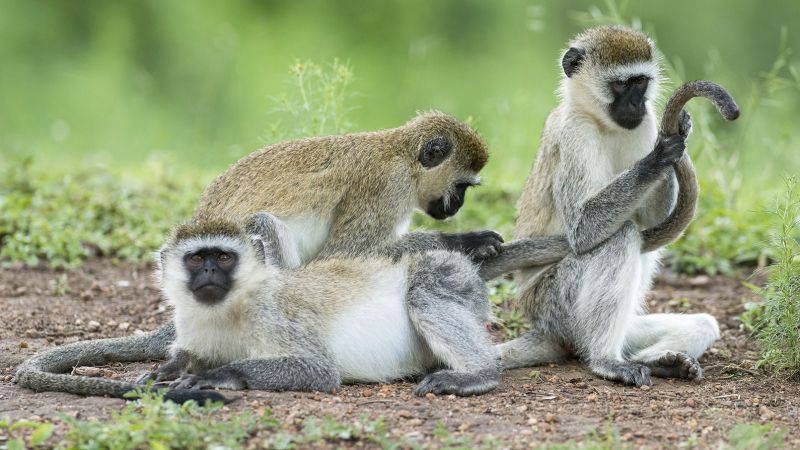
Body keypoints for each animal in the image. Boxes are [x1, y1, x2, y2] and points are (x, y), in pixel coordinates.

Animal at [17, 213, 576, 400]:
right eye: (197, 260)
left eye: (223, 257)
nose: (210, 276)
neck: (227, 311)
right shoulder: (190, 326)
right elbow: (183, 356)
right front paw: (165, 372)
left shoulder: (274, 316)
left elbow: (317, 369)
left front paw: (218, 376)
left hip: (448, 276)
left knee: (425, 288)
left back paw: (476, 374)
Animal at [500, 26, 736, 386]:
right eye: (621, 85)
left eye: (641, 82)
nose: (639, 102)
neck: (601, 123)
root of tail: (546, 328)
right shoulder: (574, 134)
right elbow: (582, 229)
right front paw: (658, 157)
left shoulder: (646, 124)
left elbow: (652, 216)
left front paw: (681, 131)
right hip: (555, 304)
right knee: (621, 237)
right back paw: (606, 360)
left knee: (703, 323)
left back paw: (661, 362)